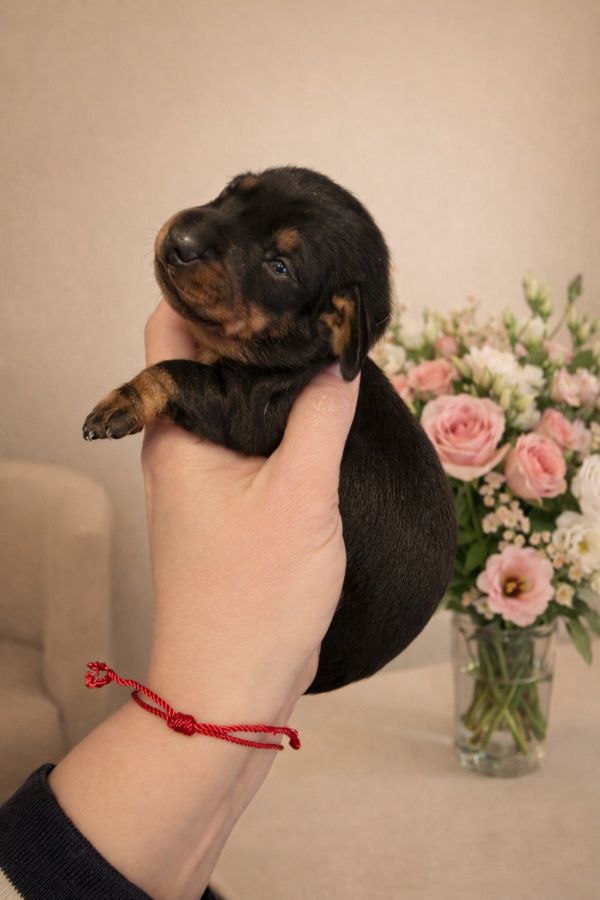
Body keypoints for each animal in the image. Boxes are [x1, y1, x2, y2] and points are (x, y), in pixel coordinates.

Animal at [83, 166, 457, 693]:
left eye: (279, 267)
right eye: (232, 190)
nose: (180, 240)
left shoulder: (242, 406)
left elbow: (173, 371)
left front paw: (122, 402)